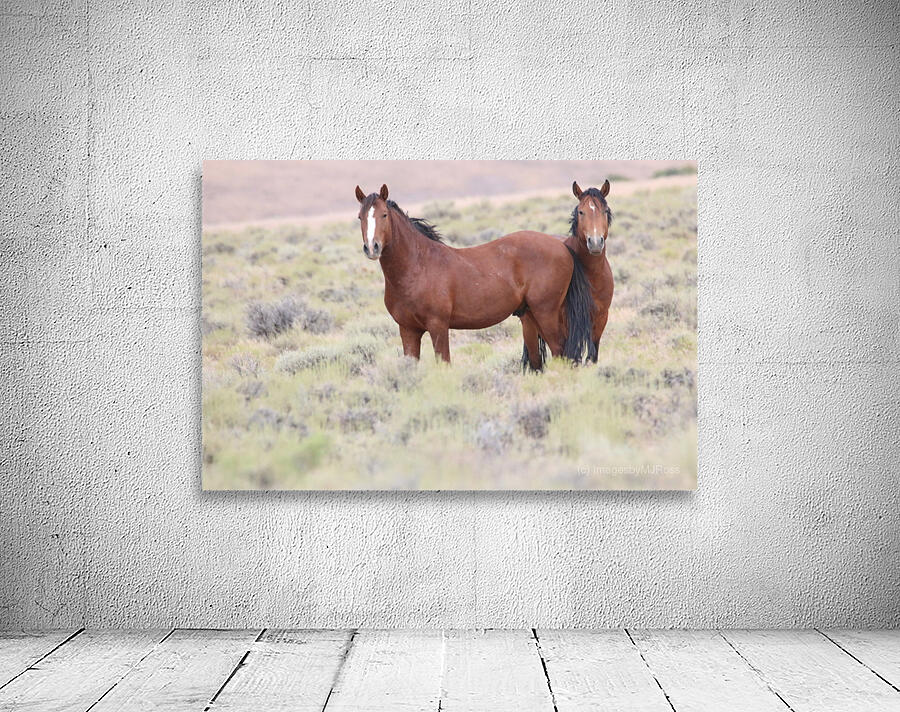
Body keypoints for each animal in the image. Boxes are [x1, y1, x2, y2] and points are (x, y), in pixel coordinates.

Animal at [355, 184, 593, 365]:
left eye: (384, 214)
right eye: (360, 217)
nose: (372, 248)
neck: (417, 267)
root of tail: (562, 247)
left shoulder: (438, 327)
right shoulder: (408, 331)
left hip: (546, 313)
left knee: (560, 351)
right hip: (532, 315)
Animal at [520, 180, 614, 368]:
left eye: (605, 211)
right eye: (581, 211)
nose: (595, 243)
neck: (593, 278)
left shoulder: (600, 319)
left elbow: (592, 356)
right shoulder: (566, 323)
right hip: (530, 325)